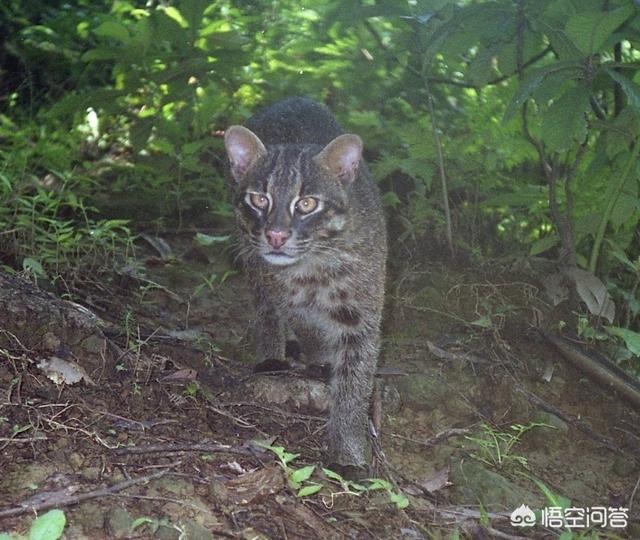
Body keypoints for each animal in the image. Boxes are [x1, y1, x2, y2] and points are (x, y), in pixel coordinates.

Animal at [222, 97, 388, 472]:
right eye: (259, 199)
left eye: (307, 203)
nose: (275, 235)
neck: (315, 266)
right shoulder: (291, 300)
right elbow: (308, 329)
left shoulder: (363, 318)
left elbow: (355, 383)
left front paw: (348, 452)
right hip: (251, 257)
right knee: (265, 309)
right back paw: (273, 356)